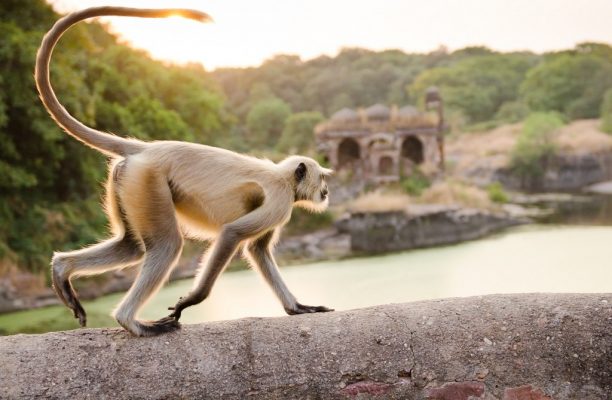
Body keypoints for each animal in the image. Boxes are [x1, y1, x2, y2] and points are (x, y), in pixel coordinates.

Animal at [37, 7, 334, 338]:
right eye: (322, 178)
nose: (326, 191)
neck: (284, 177)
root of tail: (146, 150)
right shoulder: (281, 201)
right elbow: (232, 234)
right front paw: (191, 300)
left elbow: (257, 249)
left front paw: (297, 307)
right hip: (148, 181)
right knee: (167, 245)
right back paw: (131, 321)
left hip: (129, 182)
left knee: (131, 247)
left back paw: (61, 270)